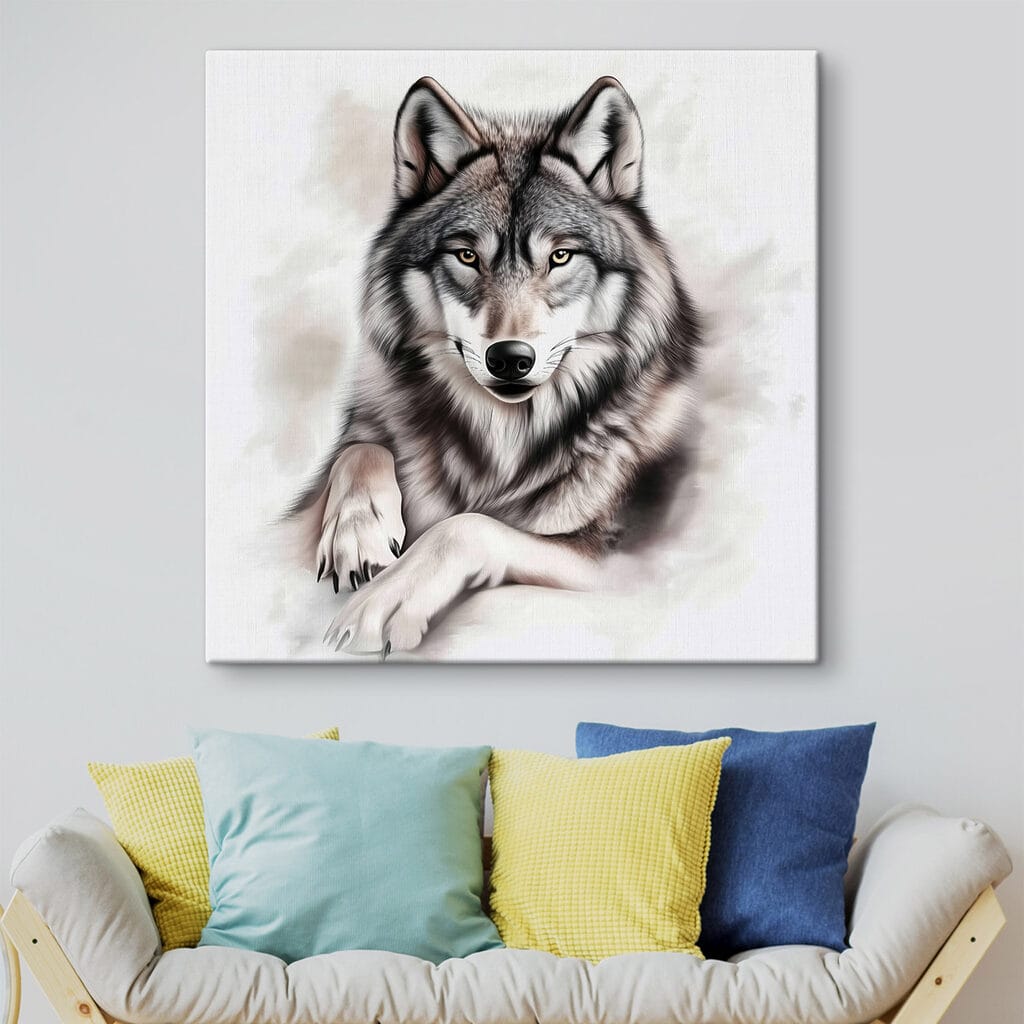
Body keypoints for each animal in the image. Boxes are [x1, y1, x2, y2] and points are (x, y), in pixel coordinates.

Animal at [292, 76, 702, 655]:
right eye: (467, 256)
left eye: (560, 257)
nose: (510, 358)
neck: (503, 437)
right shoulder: (368, 417)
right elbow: (360, 450)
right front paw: (358, 534)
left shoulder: (615, 560)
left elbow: (466, 526)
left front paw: (385, 600)